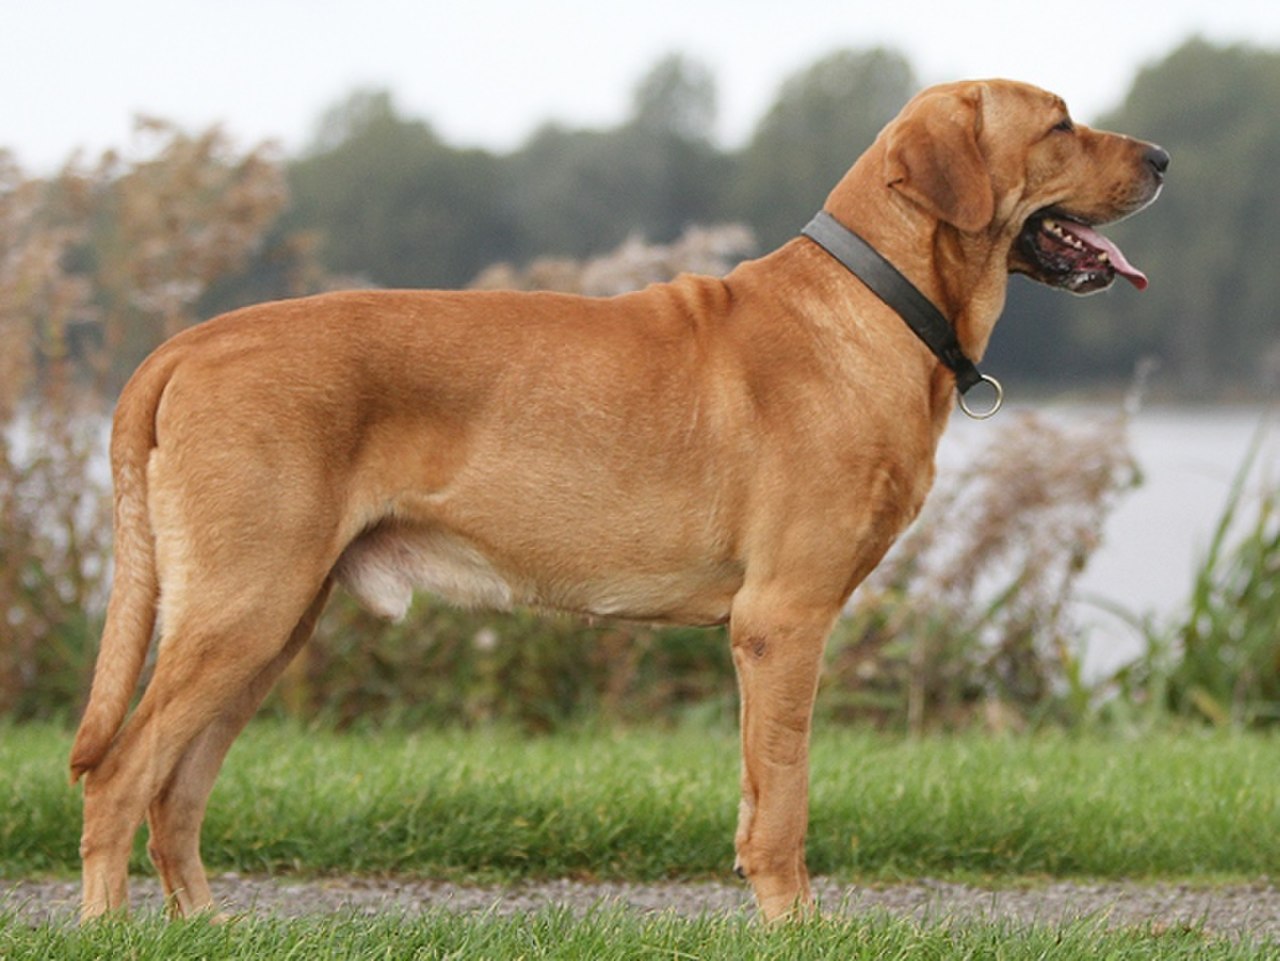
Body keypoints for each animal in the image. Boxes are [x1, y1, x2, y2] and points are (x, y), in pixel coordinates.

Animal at [70, 79, 1172, 921]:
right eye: (1059, 124)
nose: (1164, 156)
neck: (879, 299)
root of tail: (184, 345)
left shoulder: (765, 633)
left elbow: (755, 796)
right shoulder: (784, 620)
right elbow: (784, 804)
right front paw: (799, 926)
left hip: (271, 622)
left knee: (175, 795)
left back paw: (208, 927)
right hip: (240, 609)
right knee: (119, 778)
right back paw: (114, 928)